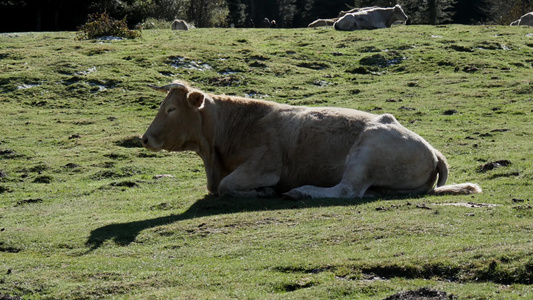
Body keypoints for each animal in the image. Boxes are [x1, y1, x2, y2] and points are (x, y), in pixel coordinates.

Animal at [141, 81, 482, 200]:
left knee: (348, 191)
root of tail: (433, 150)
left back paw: (301, 191)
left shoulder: (265, 166)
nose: (144, 138)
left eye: (171, 109)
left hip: (366, 149)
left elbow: (225, 187)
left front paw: (263, 191)